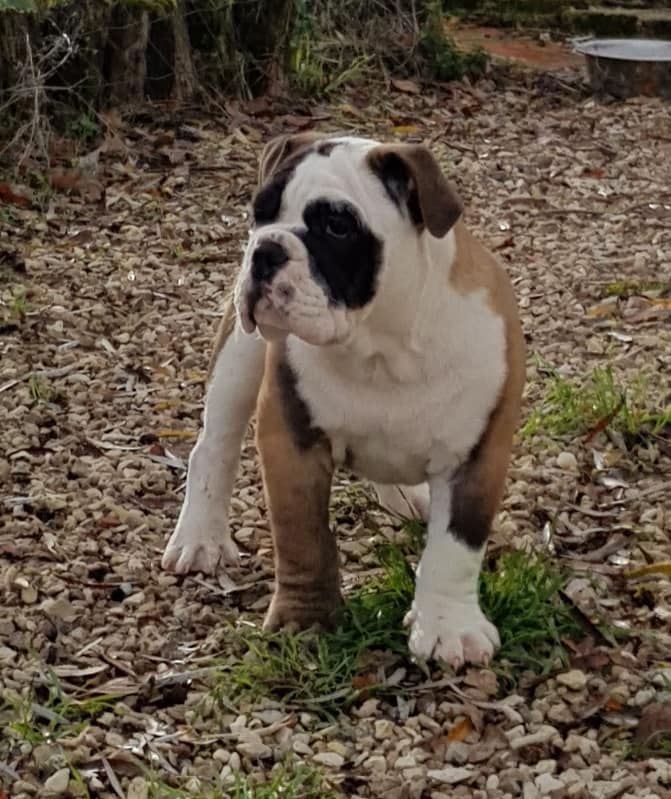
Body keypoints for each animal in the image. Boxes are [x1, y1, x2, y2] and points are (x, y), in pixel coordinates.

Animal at [162, 132, 525, 669]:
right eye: (258, 212)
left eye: (337, 226)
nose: (265, 248)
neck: (379, 347)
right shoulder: (291, 440)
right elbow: (303, 538)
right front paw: (305, 621)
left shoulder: (478, 455)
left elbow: (456, 549)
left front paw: (448, 626)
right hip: (238, 358)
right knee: (214, 447)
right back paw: (199, 537)